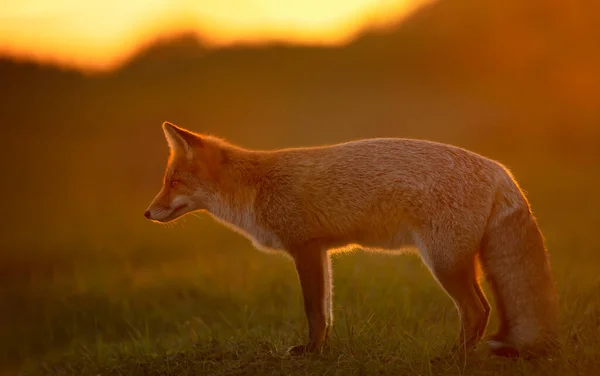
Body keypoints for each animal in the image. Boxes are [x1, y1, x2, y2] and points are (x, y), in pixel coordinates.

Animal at [144, 120, 556, 358]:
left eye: (173, 182)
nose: (147, 213)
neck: (257, 189)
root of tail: (501, 170)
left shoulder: (304, 248)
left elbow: (313, 309)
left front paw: (311, 353)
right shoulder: (321, 251)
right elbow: (326, 311)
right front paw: (322, 350)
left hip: (445, 263)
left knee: (477, 310)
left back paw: (456, 357)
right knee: (483, 310)